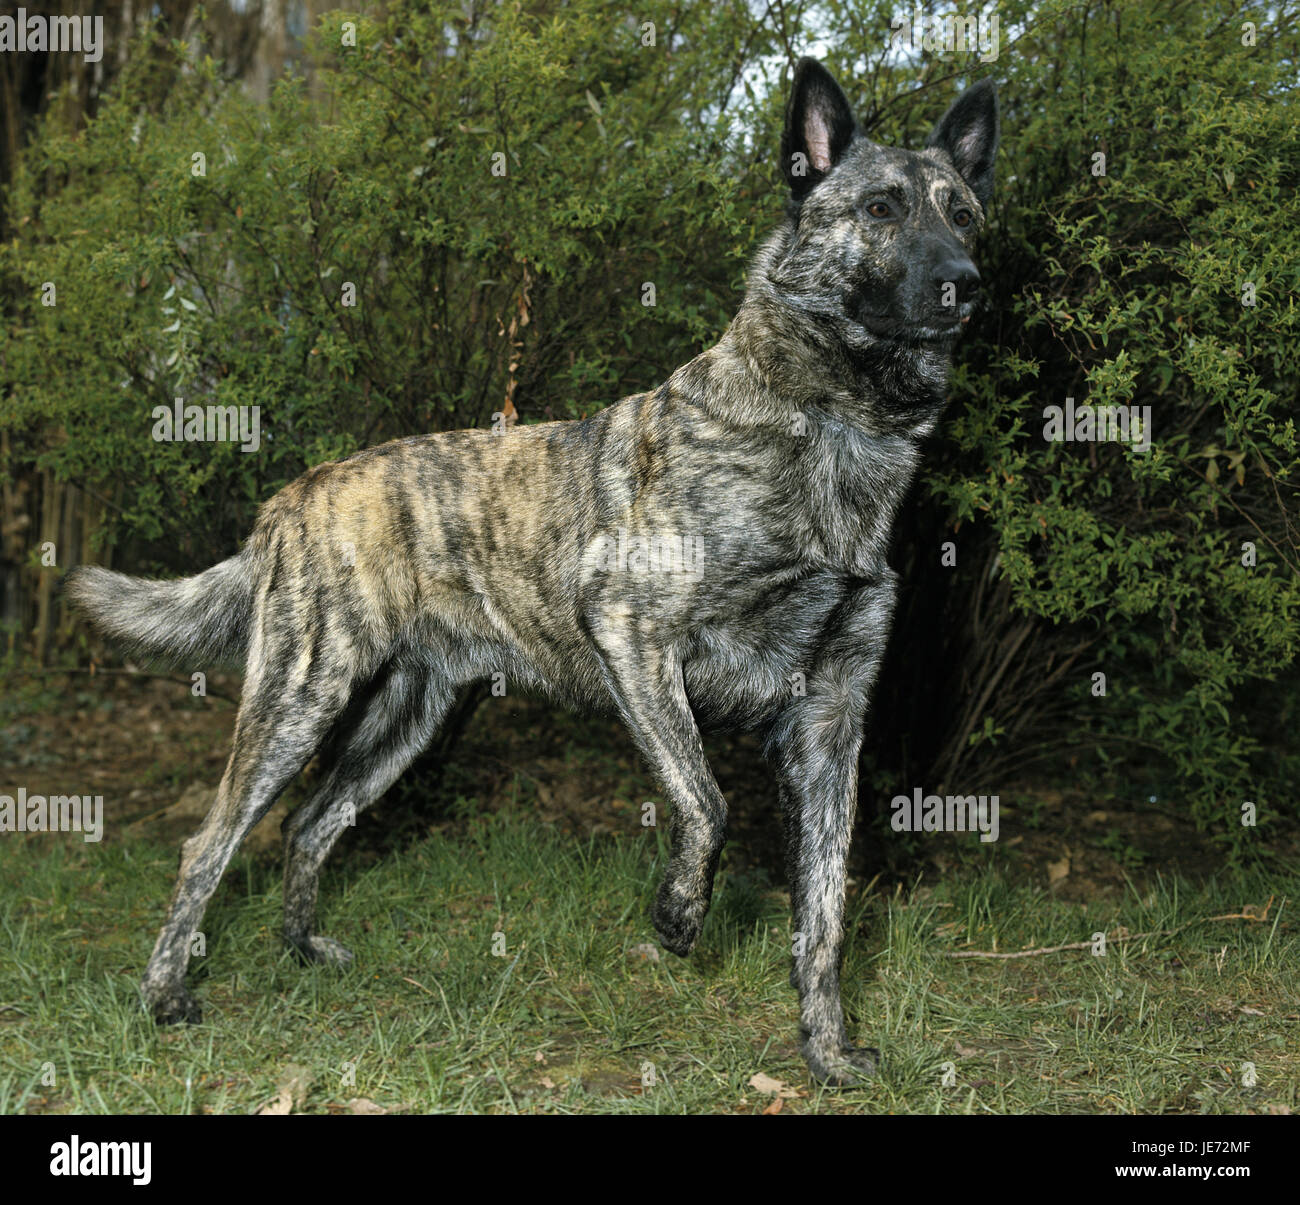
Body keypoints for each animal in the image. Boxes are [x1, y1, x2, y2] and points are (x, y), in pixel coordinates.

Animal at [65, 58, 998, 1091]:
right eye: (880, 208)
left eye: (963, 216)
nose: (965, 287)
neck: (831, 423)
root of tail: (291, 497)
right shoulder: (634, 635)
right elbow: (706, 803)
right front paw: (680, 916)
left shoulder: (831, 724)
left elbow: (824, 914)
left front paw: (827, 1051)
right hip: (298, 700)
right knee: (211, 841)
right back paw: (166, 995)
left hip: (405, 722)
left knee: (310, 824)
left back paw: (301, 949)